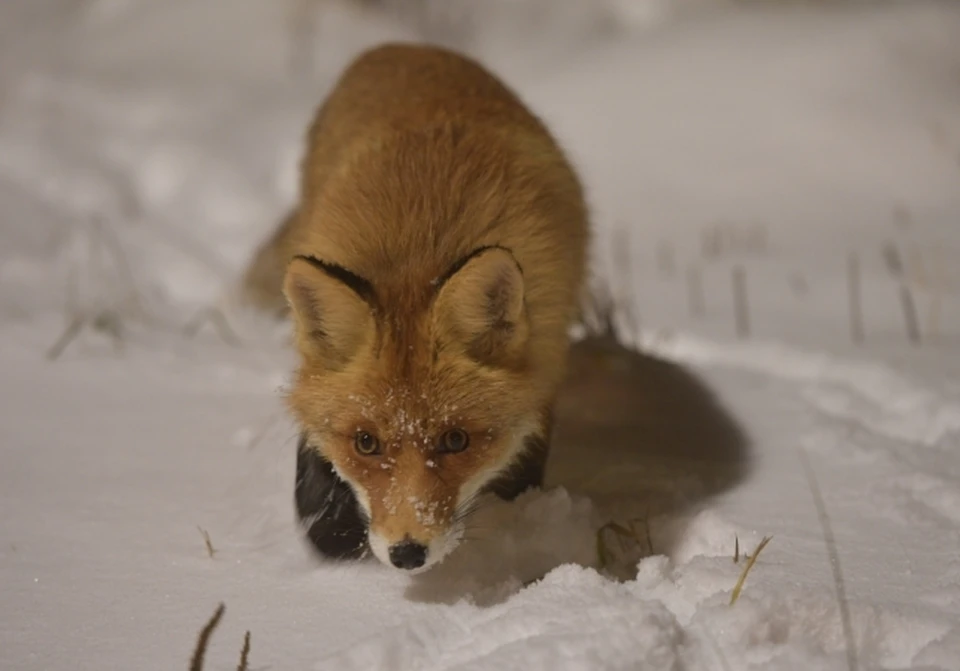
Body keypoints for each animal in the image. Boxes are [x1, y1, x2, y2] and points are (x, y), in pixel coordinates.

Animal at [242, 40, 584, 572]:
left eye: (456, 440)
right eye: (366, 442)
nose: (407, 553)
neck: (420, 248)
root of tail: (398, 46)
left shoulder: (544, 363)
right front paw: (331, 532)